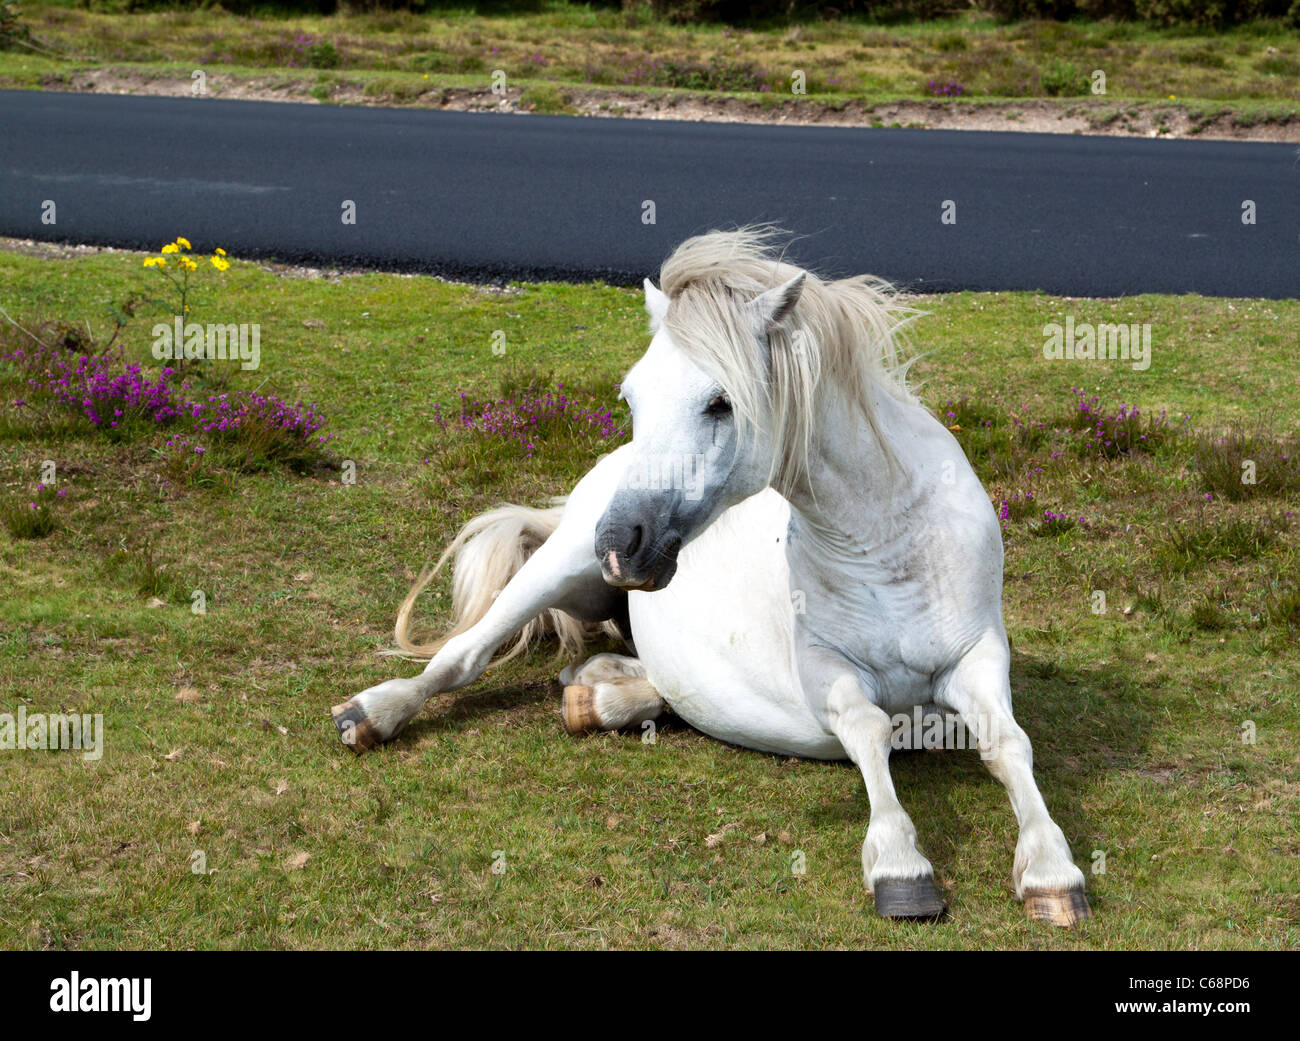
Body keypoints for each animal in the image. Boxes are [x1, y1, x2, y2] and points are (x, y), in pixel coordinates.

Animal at [331, 228, 1091, 927]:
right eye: (631, 399)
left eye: (722, 402)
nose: (620, 544)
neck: (890, 546)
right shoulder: (829, 675)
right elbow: (871, 731)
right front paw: (901, 864)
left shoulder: (976, 660)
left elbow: (1008, 743)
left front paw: (1052, 871)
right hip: (555, 568)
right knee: (464, 653)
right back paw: (374, 712)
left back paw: (594, 693)